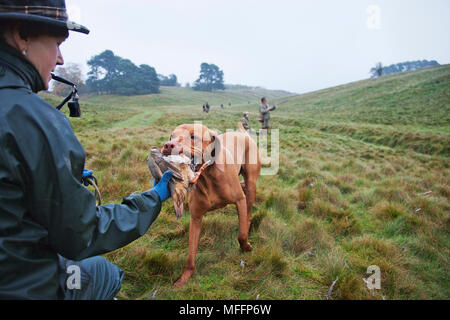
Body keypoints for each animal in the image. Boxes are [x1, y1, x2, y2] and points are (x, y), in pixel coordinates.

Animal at [161, 123, 260, 288]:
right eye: (171, 136)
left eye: (193, 136)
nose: (168, 145)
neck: (206, 176)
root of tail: (243, 134)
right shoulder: (195, 218)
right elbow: (190, 254)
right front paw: (184, 278)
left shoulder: (240, 200)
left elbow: (241, 235)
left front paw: (246, 247)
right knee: (243, 188)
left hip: (252, 184)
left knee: (248, 211)